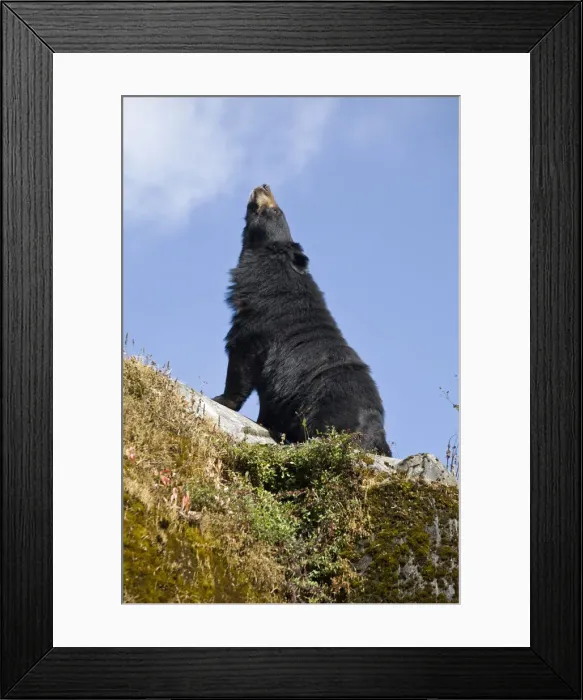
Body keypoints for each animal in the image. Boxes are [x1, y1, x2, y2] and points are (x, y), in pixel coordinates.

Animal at [213, 184, 391, 456]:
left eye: (276, 210)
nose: (264, 185)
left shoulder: (257, 324)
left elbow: (241, 360)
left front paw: (221, 399)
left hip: (323, 408)